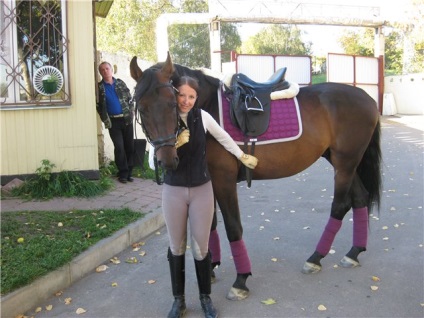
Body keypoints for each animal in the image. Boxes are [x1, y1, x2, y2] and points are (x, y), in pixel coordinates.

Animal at [129, 52, 380, 300]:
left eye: (172, 103)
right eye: (141, 108)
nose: (166, 160)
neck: (208, 109)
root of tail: (367, 98)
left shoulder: (224, 181)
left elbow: (233, 227)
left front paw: (241, 280)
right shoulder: (208, 182)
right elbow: (209, 225)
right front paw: (210, 267)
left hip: (345, 163)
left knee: (340, 205)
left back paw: (316, 258)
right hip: (344, 163)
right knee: (359, 198)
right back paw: (353, 252)